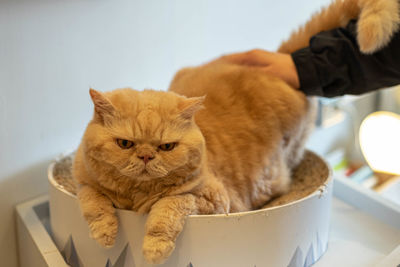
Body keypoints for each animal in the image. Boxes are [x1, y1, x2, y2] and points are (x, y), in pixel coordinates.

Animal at [73, 0, 398, 264]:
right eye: (125, 143)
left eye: (166, 147)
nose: (145, 157)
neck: (135, 197)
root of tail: (278, 61)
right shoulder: (82, 180)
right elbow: (92, 198)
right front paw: (104, 232)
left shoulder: (209, 202)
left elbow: (168, 206)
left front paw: (155, 249)